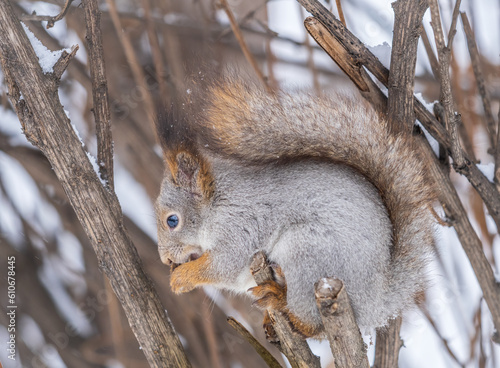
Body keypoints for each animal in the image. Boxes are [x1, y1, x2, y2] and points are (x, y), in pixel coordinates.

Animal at [154, 76, 436, 338]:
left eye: (172, 220)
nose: (165, 259)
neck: (218, 203)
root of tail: (375, 301)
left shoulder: (241, 225)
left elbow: (223, 265)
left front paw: (180, 278)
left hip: (306, 254)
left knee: (311, 324)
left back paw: (278, 299)